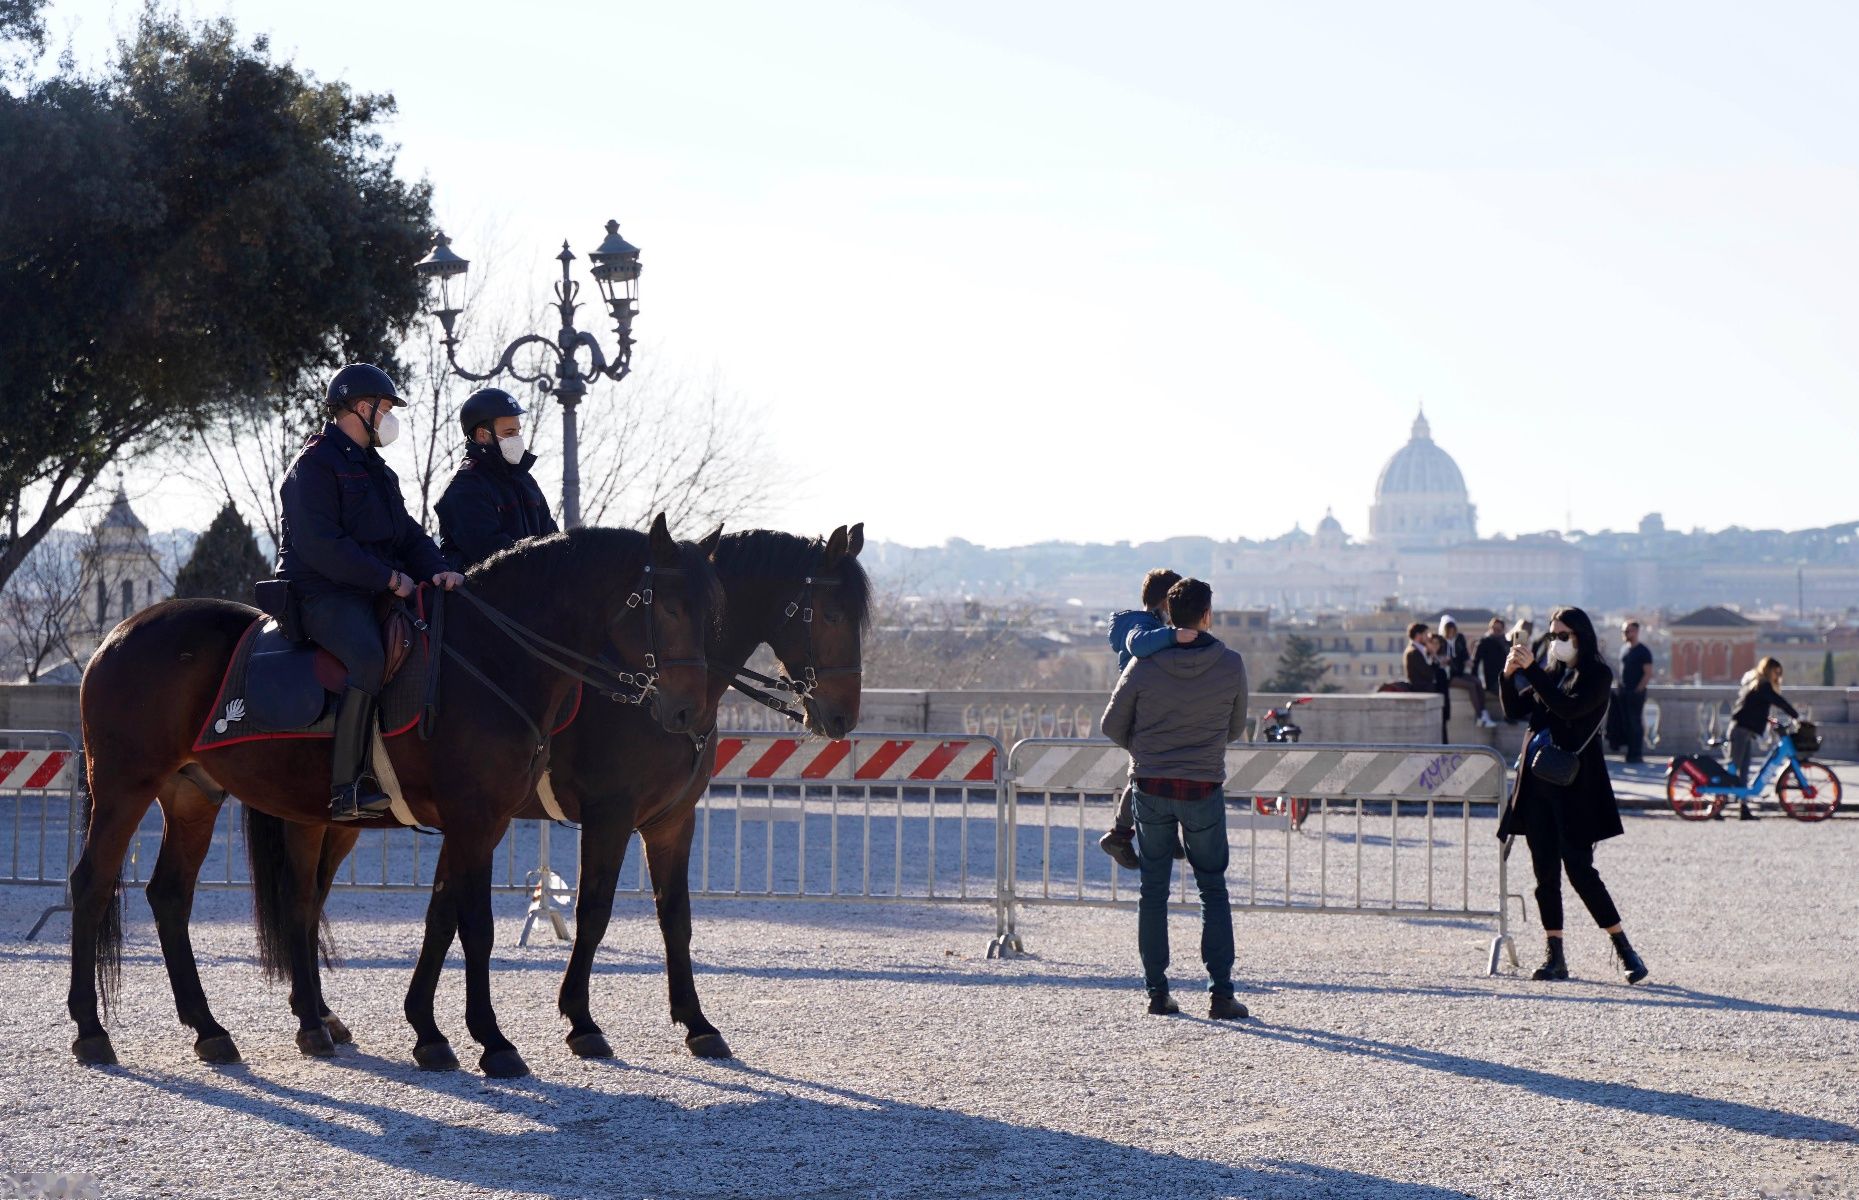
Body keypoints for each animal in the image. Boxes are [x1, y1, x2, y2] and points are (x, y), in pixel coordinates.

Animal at [65, 516, 721, 1084]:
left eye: (710, 609)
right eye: (666, 606)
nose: (688, 712)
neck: (493, 657)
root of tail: (118, 634)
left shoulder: (488, 824)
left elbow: (444, 916)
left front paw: (432, 1033)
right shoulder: (489, 818)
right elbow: (478, 924)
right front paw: (495, 1041)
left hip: (195, 796)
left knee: (178, 896)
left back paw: (215, 1029)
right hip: (125, 784)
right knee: (92, 883)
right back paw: (92, 1031)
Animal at [236, 527, 866, 1062]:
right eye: (833, 614)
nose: (841, 718)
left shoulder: (671, 821)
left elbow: (675, 917)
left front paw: (697, 1022)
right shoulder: (607, 816)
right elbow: (592, 911)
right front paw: (579, 1021)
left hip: (334, 822)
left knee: (309, 905)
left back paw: (319, 1015)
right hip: (318, 818)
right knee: (301, 904)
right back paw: (311, 1019)